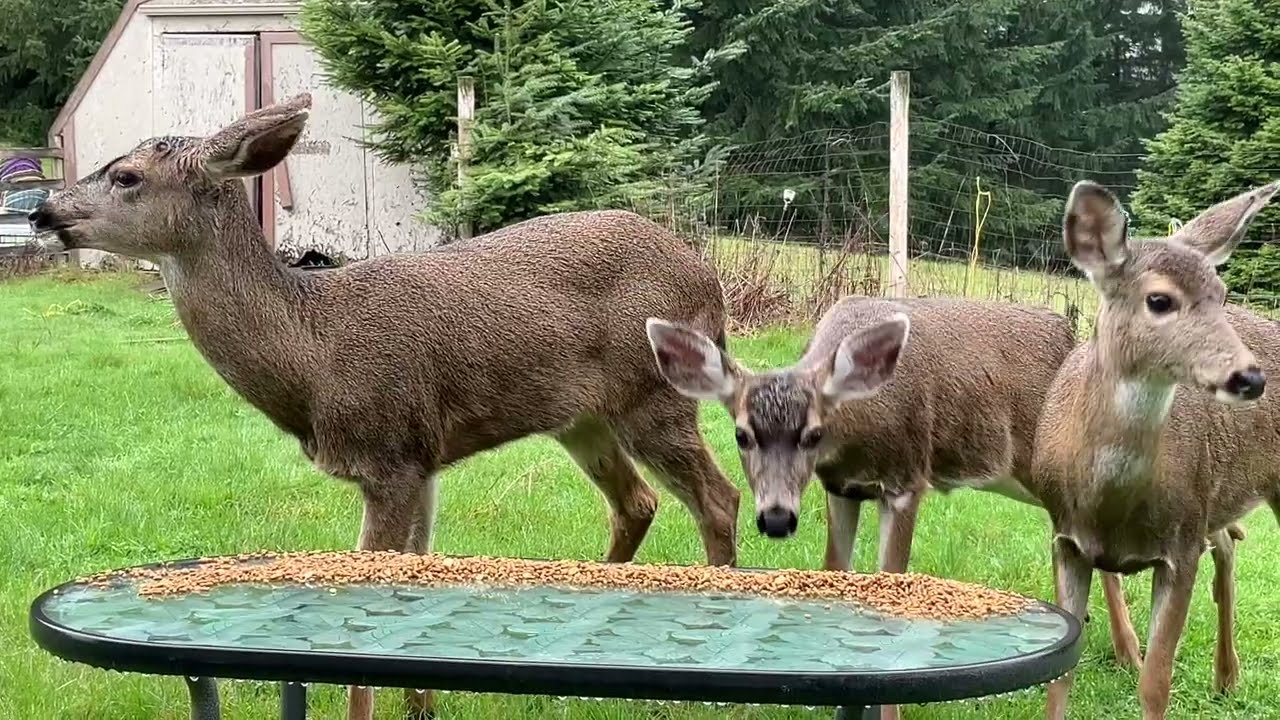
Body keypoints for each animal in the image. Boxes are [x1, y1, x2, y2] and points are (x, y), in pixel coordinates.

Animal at [27, 94, 742, 720]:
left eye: (127, 175)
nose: (40, 210)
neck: (314, 356)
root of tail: (711, 280)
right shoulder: (421, 461)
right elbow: (416, 585)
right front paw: (421, 705)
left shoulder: (389, 455)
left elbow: (369, 611)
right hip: (582, 416)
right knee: (637, 501)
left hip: (653, 393)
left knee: (718, 497)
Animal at [647, 291, 1248, 720]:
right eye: (742, 435)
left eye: (813, 433)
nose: (775, 518)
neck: (859, 424)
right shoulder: (842, 488)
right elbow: (834, 568)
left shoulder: (905, 477)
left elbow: (890, 582)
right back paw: (1138, 654)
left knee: (1213, 534)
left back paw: (1223, 675)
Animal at [1032, 178, 1280, 720]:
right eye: (1160, 300)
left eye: (1221, 295)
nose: (1249, 378)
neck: (1111, 503)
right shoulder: (1065, 539)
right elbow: (1061, 674)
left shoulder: (1181, 547)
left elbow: (1155, 682)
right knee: (1227, 544)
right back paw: (1225, 678)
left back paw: (1227, 675)